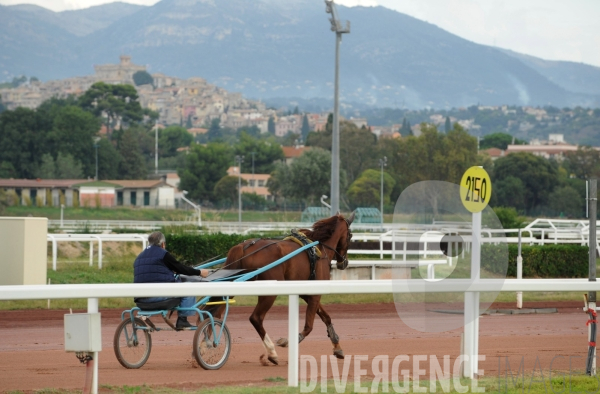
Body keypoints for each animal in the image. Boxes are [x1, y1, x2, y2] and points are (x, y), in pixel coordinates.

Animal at [218, 212, 354, 366]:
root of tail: (243, 247)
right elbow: (309, 326)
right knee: (256, 318)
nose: (344, 262)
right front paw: (286, 342)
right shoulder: (315, 293)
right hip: (269, 291)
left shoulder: (307, 292)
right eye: (350, 236)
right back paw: (272, 353)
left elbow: (327, 317)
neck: (318, 249)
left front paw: (337, 348)